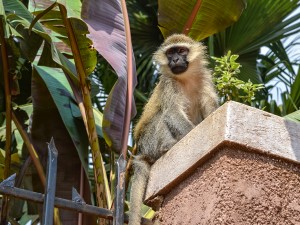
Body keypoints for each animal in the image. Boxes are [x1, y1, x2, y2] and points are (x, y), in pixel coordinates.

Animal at [128, 33, 218, 225]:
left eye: (182, 50)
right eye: (170, 53)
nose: (175, 59)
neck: (186, 78)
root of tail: (142, 153)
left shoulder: (204, 77)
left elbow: (210, 108)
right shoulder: (169, 84)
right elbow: (172, 113)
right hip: (149, 142)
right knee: (162, 116)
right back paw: (166, 147)